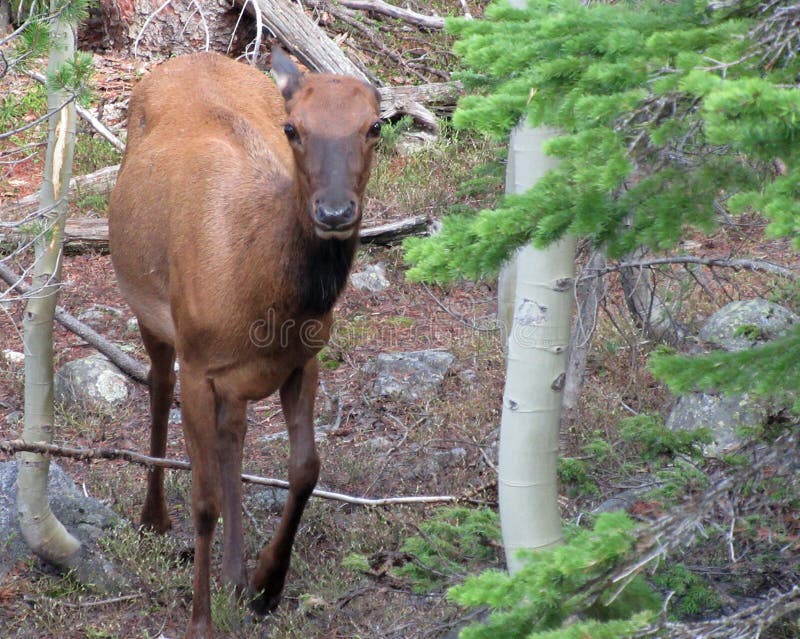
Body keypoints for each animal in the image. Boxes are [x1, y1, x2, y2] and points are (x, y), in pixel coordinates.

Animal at [108, 50, 382, 639]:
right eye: (293, 128)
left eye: (374, 126)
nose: (333, 212)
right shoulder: (198, 363)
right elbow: (204, 500)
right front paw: (200, 621)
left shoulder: (305, 359)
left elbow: (306, 469)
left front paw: (264, 586)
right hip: (153, 313)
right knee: (158, 388)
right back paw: (153, 518)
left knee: (232, 434)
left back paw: (235, 573)